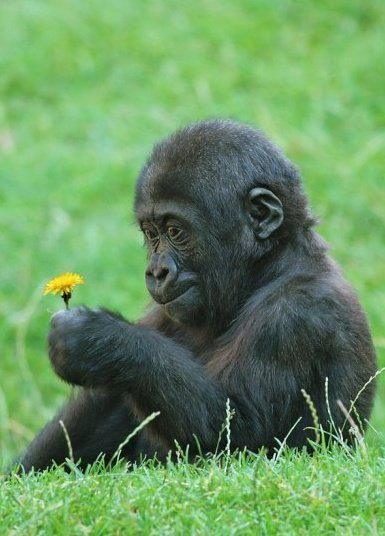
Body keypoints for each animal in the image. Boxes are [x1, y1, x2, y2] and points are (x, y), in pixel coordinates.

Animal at [17, 119, 376, 472]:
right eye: (151, 233)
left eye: (175, 231)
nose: (156, 272)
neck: (269, 267)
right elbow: (111, 400)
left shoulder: (297, 314)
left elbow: (242, 436)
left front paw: (97, 341)